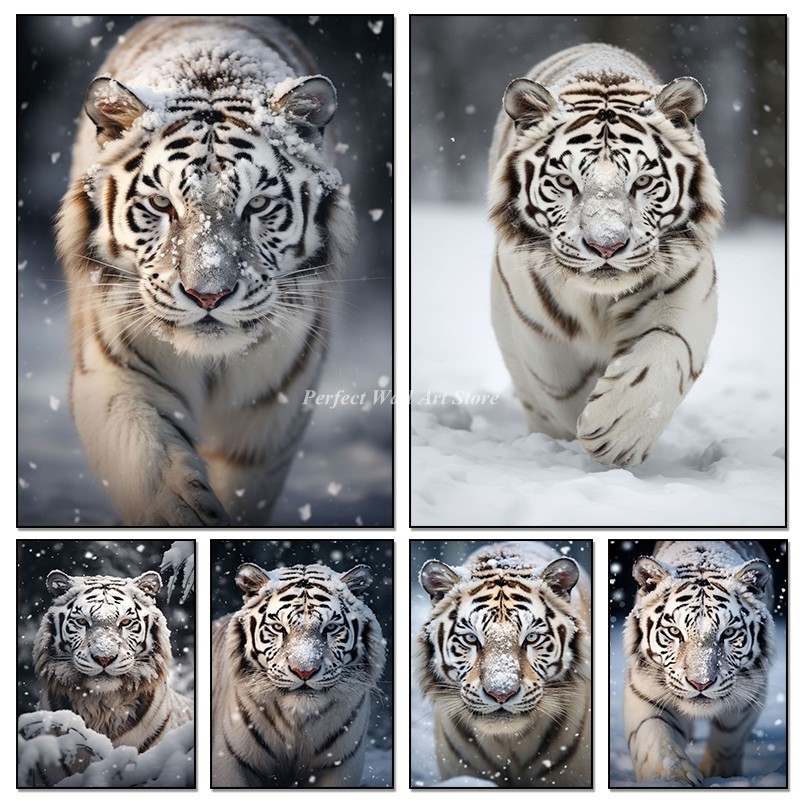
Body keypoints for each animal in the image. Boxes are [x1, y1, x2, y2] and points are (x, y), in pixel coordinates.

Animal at [55, 16, 355, 525]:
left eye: (257, 205)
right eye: (162, 204)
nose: (209, 295)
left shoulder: (272, 406)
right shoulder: (116, 375)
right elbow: (154, 467)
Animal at [211, 561, 385, 788]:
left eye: (330, 627)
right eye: (278, 627)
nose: (305, 671)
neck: (297, 723)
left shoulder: (339, 766)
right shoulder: (231, 763)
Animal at [489, 43, 724, 468]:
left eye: (642, 181)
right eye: (565, 181)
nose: (606, 246)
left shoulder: (688, 290)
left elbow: (664, 353)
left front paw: (616, 433)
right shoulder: (539, 330)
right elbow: (563, 393)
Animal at [623, 540, 775, 786]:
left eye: (728, 632)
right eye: (675, 631)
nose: (700, 683)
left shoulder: (752, 692)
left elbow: (729, 736)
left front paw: (721, 774)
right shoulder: (644, 690)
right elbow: (656, 735)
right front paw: (672, 779)